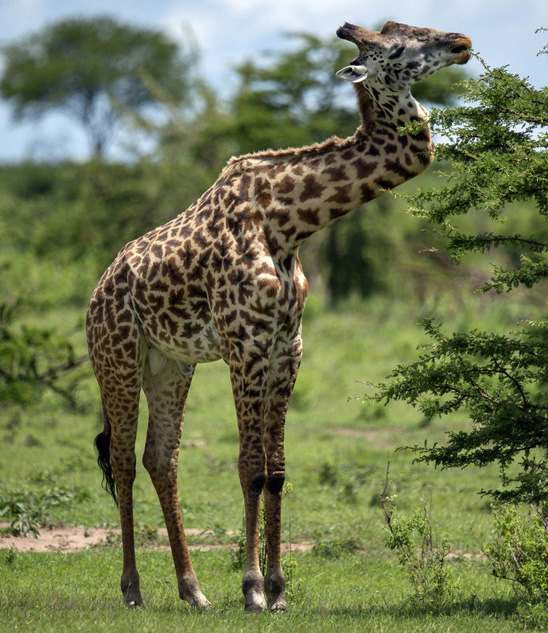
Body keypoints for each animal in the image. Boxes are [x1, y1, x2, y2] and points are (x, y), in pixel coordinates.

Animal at [85, 21, 470, 612]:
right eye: (402, 45)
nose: (462, 43)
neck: (288, 222)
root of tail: (97, 293)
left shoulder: (288, 346)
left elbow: (279, 471)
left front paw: (279, 589)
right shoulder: (243, 344)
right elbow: (250, 467)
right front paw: (251, 590)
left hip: (170, 365)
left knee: (160, 458)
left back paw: (192, 591)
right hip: (117, 359)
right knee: (124, 458)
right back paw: (133, 590)